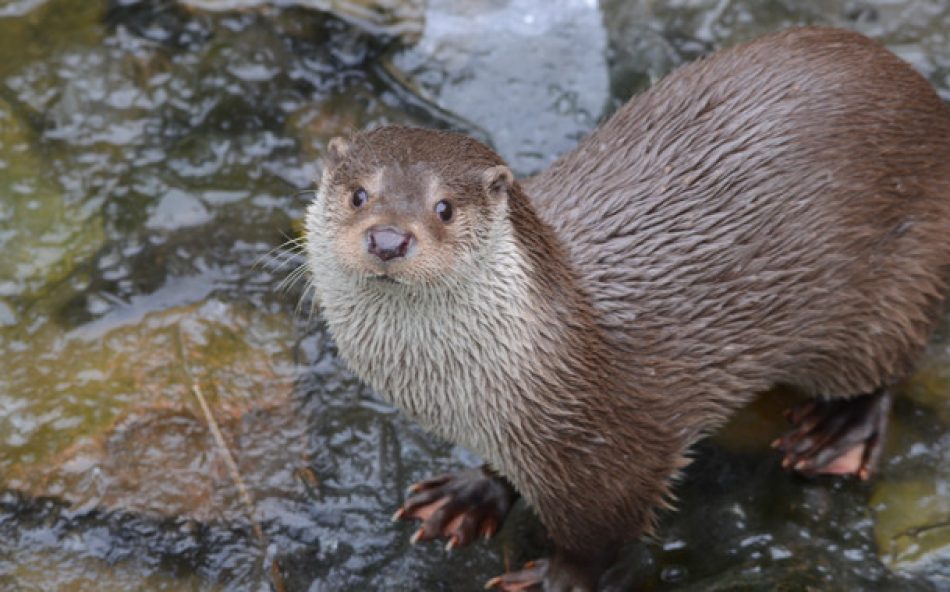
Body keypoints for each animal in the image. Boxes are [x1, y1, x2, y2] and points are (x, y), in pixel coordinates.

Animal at [304, 27, 950, 592]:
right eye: (359, 194)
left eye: (444, 208)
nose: (389, 238)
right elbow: (503, 472)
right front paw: (467, 496)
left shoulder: (612, 456)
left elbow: (599, 540)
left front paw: (555, 579)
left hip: (896, 279)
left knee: (891, 362)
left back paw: (838, 433)